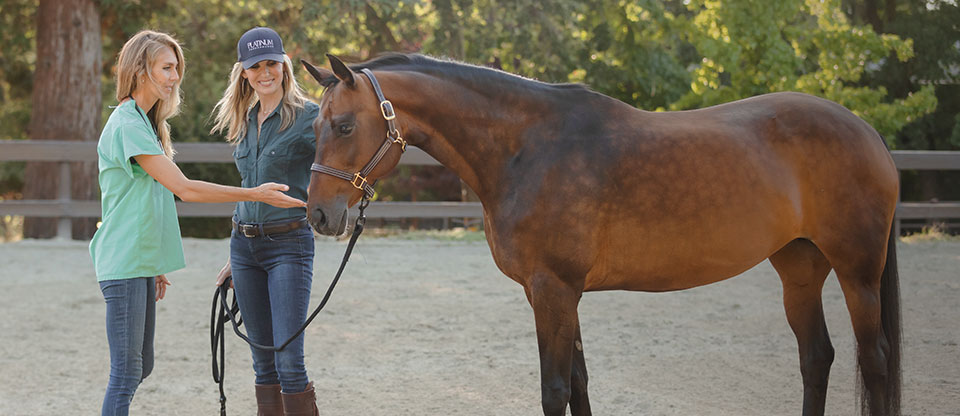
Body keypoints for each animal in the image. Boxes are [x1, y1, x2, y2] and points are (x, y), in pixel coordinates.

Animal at [300, 54, 900, 416]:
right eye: (314, 125)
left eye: (345, 126)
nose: (319, 215)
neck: (528, 147)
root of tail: (867, 132)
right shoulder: (554, 292)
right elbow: (579, 383)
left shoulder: (554, 289)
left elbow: (555, 389)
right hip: (799, 266)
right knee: (816, 356)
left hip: (857, 271)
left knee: (874, 360)